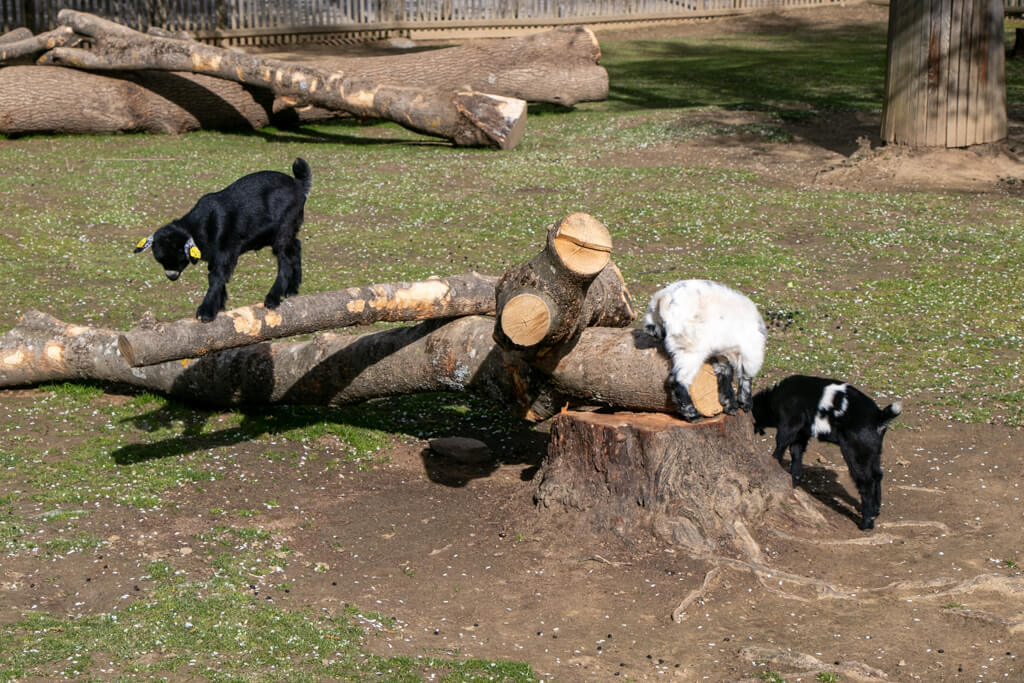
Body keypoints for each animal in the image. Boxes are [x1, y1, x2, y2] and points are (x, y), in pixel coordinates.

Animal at [643, 278, 765, 421]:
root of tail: (664, 298)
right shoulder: (751, 351)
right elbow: (746, 377)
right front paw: (745, 404)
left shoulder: (721, 353)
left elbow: (725, 374)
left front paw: (730, 405)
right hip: (690, 348)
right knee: (678, 380)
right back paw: (693, 414)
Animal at [753, 376, 905, 532]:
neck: (774, 398)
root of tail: (879, 417)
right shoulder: (801, 435)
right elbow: (796, 457)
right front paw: (793, 483)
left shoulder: (789, 424)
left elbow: (780, 447)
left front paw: (772, 464)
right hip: (873, 452)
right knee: (877, 476)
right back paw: (876, 511)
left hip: (857, 452)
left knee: (866, 482)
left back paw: (866, 523)